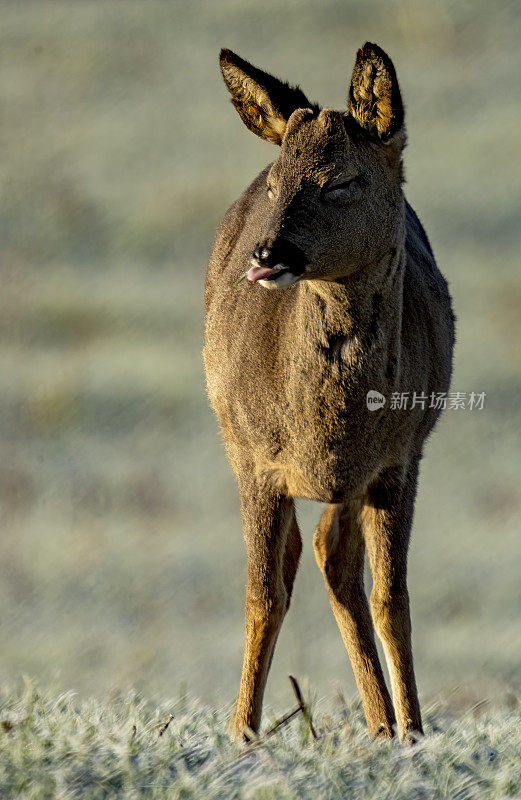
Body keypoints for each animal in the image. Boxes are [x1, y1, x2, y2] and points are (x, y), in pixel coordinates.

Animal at [204, 42, 456, 744]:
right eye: (275, 183)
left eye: (342, 181)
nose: (267, 253)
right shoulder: (256, 460)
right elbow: (262, 594)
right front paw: (241, 733)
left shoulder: (400, 459)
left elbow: (391, 598)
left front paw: (414, 732)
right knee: (303, 559)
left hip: (364, 475)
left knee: (333, 559)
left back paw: (382, 724)